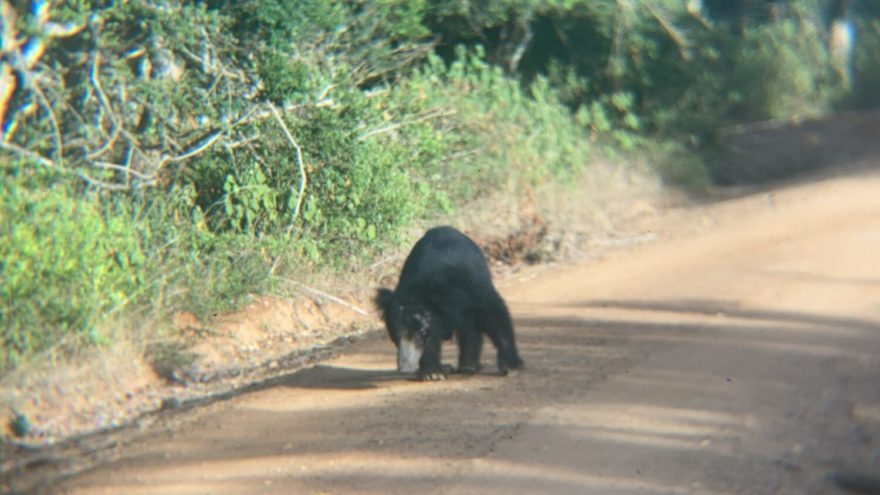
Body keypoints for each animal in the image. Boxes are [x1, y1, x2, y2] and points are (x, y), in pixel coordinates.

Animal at [376, 227, 524, 382]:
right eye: (395, 338)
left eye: (417, 335)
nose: (404, 369)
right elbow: (431, 341)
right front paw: (433, 373)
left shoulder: (471, 285)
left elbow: (494, 313)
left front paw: (512, 366)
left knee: (471, 326)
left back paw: (468, 365)